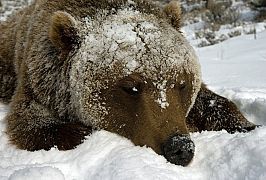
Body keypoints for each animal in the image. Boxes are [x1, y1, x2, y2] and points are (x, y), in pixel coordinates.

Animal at [0, 0, 256, 167]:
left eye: (181, 83)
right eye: (132, 87)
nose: (180, 147)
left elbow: (213, 102)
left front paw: (247, 126)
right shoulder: (41, 80)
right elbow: (33, 122)